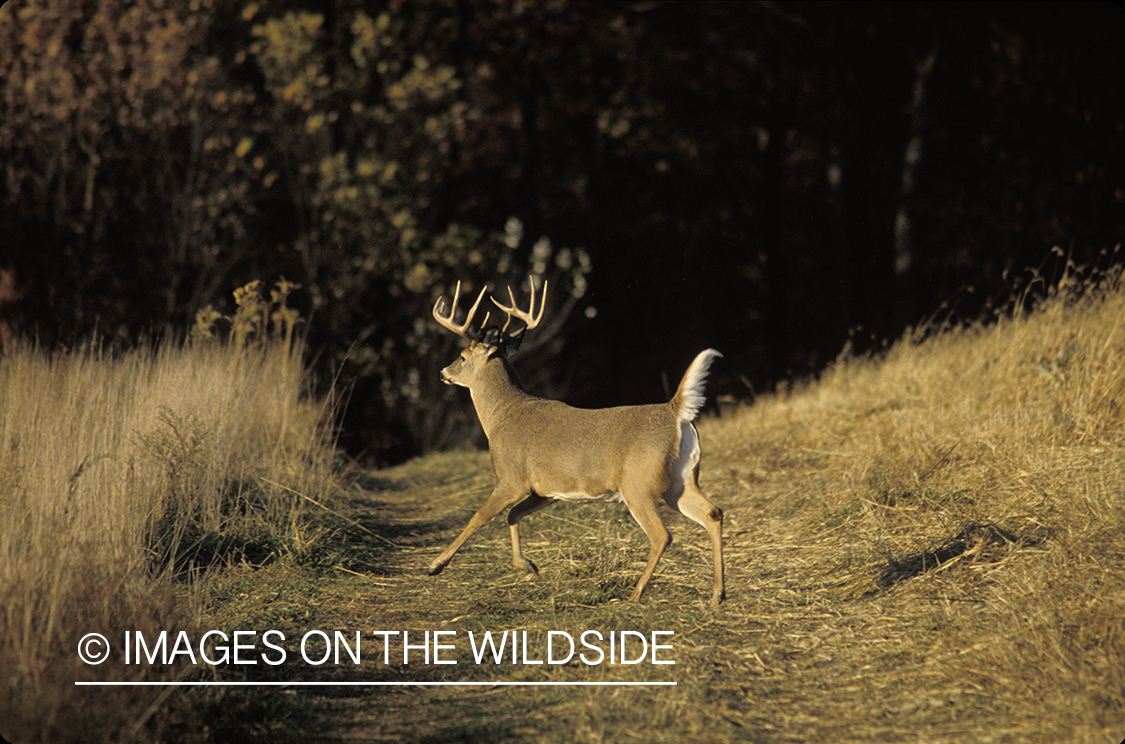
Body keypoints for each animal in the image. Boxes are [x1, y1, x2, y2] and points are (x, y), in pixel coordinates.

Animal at [429, 275, 729, 607]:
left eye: (463, 356)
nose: (443, 372)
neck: (501, 417)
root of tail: (675, 410)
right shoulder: (544, 490)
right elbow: (513, 515)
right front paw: (528, 566)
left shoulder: (510, 478)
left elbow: (479, 517)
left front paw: (436, 564)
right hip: (680, 481)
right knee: (713, 513)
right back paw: (717, 595)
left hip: (638, 483)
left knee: (662, 535)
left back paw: (634, 595)